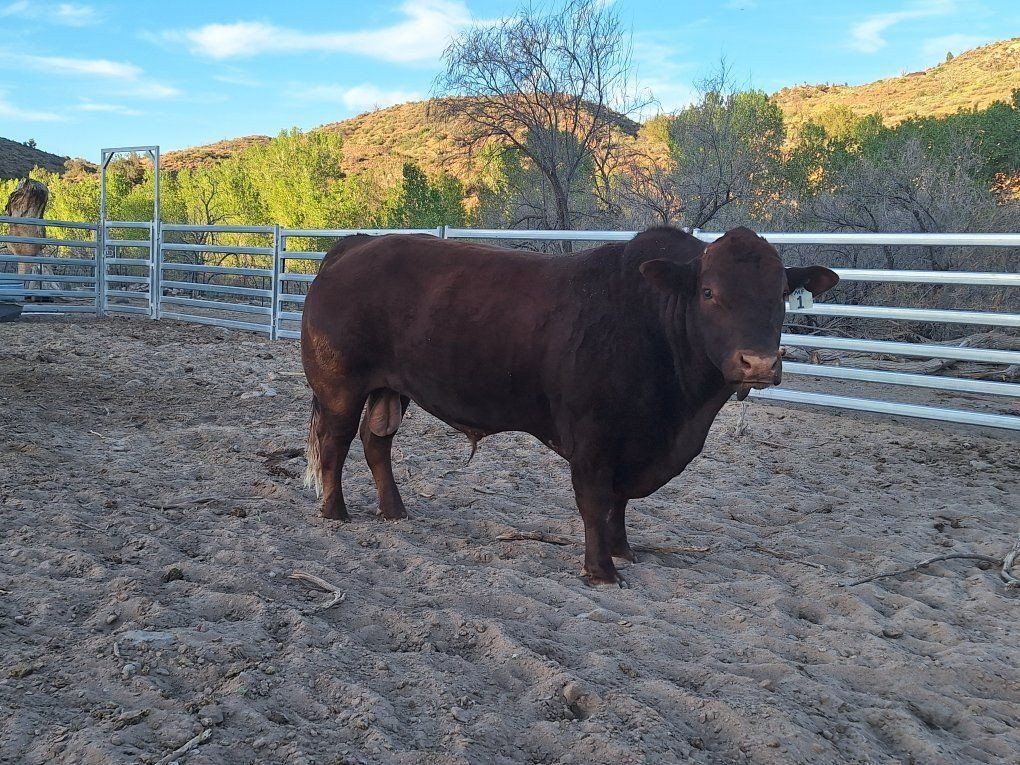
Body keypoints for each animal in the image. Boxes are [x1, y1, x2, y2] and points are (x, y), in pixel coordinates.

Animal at [301, 226, 838, 585]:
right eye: (709, 292)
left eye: (781, 294)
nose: (758, 362)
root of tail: (356, 244)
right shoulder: (593, 438)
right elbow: (595, 500)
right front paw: (600, 570)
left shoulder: (635, 440)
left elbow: (620, 500)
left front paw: (623, 550)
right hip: (340, 387)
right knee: (336, 442)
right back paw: (334, 510)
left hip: (392, 389)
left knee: (377, 442)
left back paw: (394, 511)